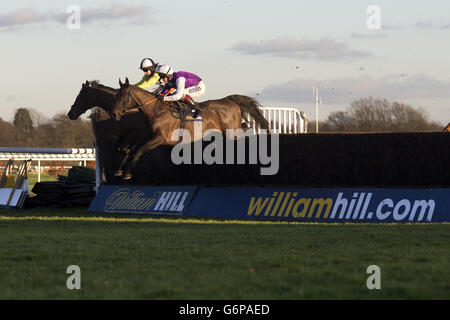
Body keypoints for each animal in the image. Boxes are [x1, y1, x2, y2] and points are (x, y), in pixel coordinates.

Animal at [112, 76, 268, 179]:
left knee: (244, 131)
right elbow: (130, 150)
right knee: (245, 127)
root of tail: (229, 100)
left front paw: (127, 173)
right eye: (116, 95)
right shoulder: (146, 136)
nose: (114, 114)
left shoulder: (160, 139)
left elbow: (139, 151)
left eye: (124, 95)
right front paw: (119, 170)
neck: (155, 111)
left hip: (231, 132)